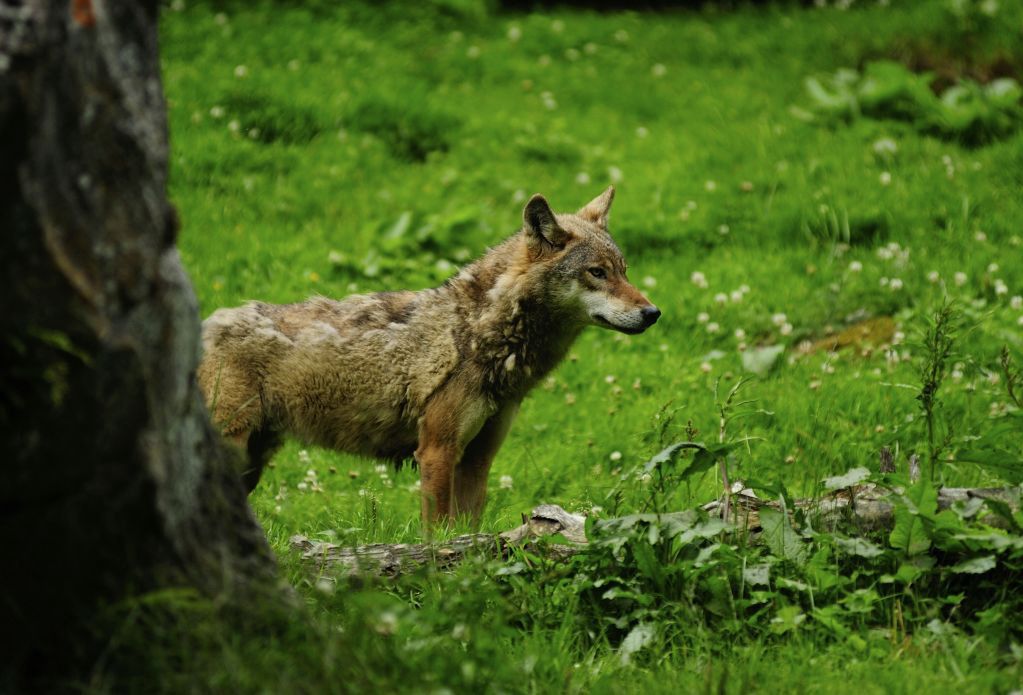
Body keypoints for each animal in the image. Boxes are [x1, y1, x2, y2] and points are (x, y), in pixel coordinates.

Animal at [198, 186, 658, 528]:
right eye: (596, 273)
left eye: (624, 270)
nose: (653, 313)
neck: (480, 334)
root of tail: (203, 322)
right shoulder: (436, 450)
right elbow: (435, 534)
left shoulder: (478, 458)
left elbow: (468, 530)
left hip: (251, 463)